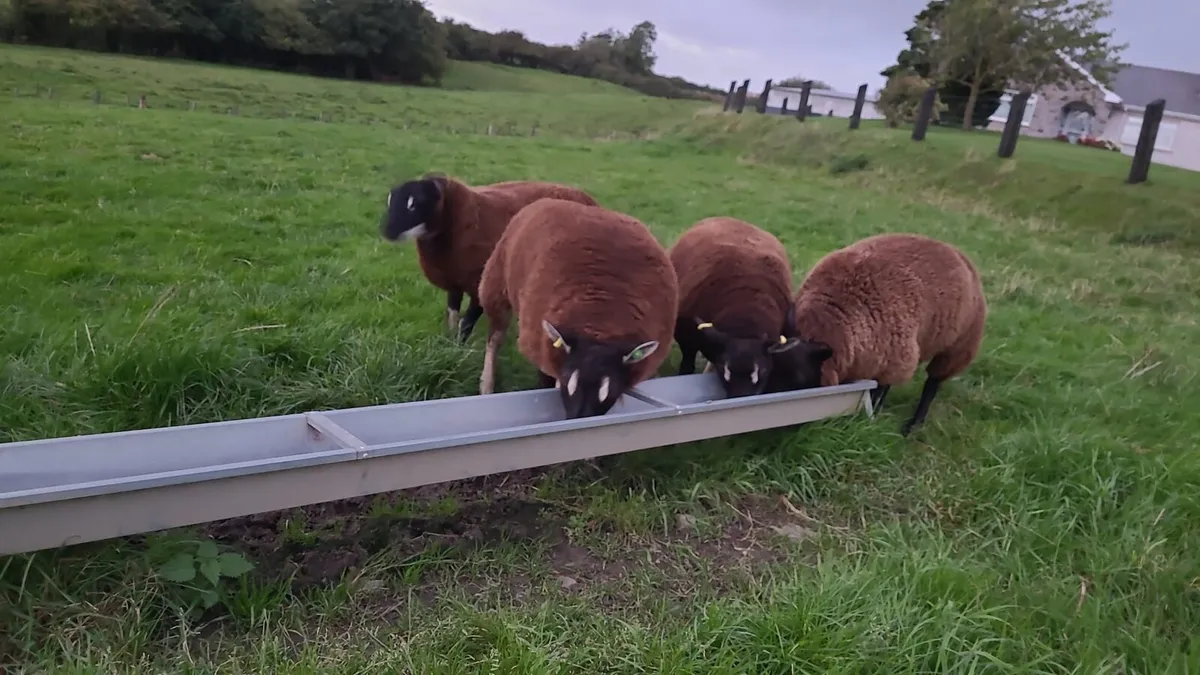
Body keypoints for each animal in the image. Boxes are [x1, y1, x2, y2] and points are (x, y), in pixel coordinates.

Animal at [379, 173, 599, 343]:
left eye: (414, 204)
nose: (387, 232)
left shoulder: (479, 284)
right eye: (390, 202)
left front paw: (458, 347)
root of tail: (588, 198)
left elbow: (466, 322)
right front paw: (447, 341)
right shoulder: (454, 281)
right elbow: (453, 314)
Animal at [477, 198, 679, 419]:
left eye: (610, 393)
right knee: (495, 337)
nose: (578, 419)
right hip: (496, 283)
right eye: (568, 384)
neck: (601, 321)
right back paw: (486, 386)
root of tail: (551, 199)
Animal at [772, 232, 987, 436]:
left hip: (959, 346)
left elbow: (879, 392)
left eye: (801, 379)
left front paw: (873, 416)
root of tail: (955, 250)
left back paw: (913, 425)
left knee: (932, 385)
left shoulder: (895, 360)